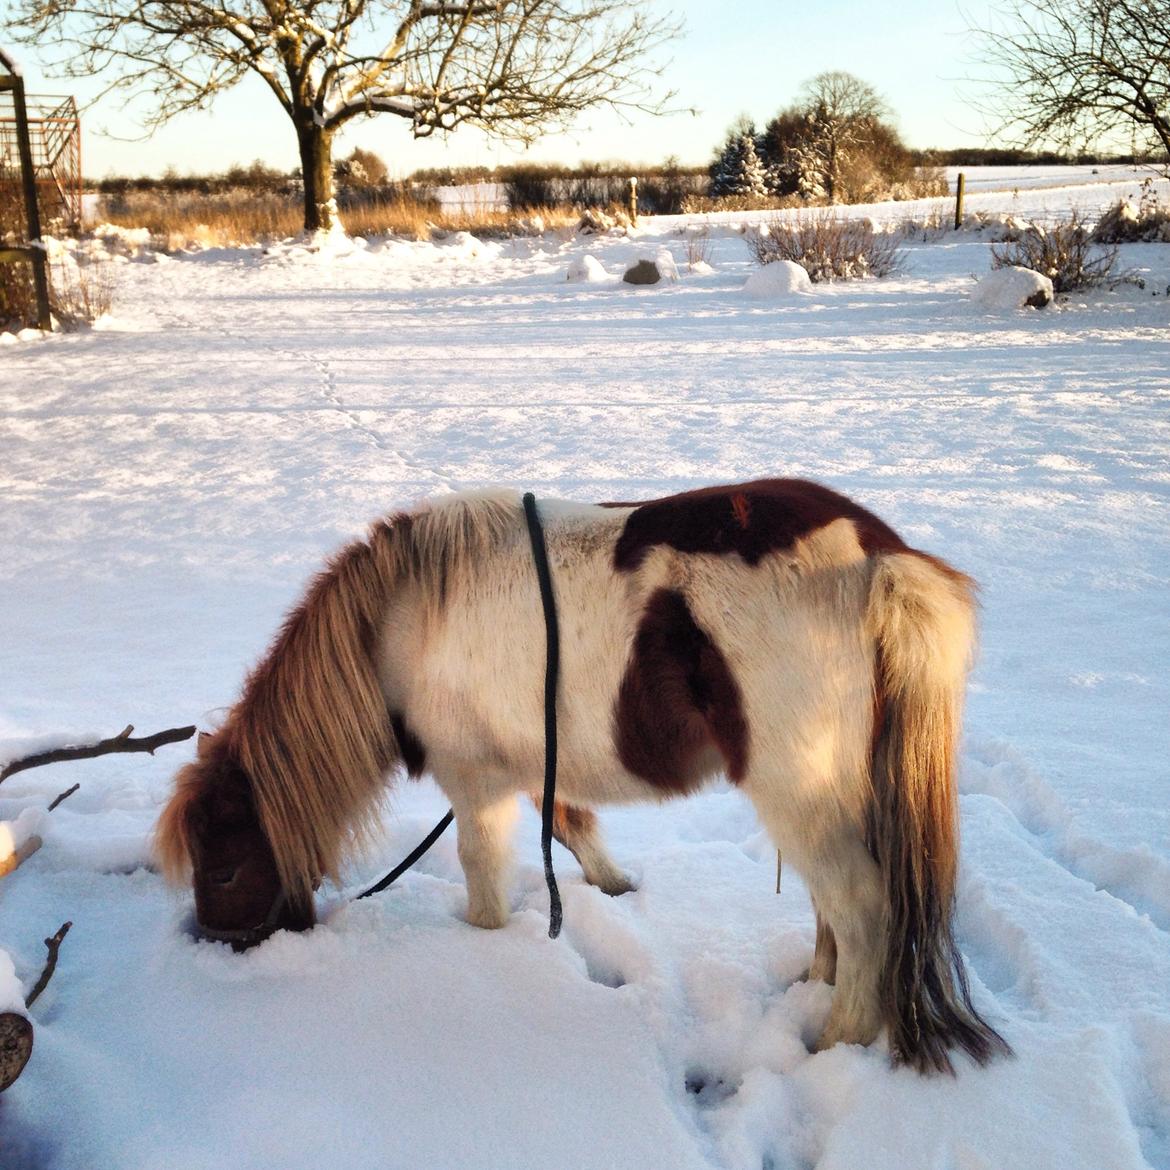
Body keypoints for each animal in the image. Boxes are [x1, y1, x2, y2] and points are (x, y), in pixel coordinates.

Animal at [155, 475, 1010, 1071]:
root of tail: (880, 560)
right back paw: (818, 983)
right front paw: (615, 888)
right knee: (837, 905)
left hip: (799, 790)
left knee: (864, 907)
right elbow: (572, 824)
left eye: (223, 869)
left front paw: (488, 944)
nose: (217, 951)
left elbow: (484, 875)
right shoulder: (535, 762)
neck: (402, 620)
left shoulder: (476, 781)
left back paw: (834, 1043)